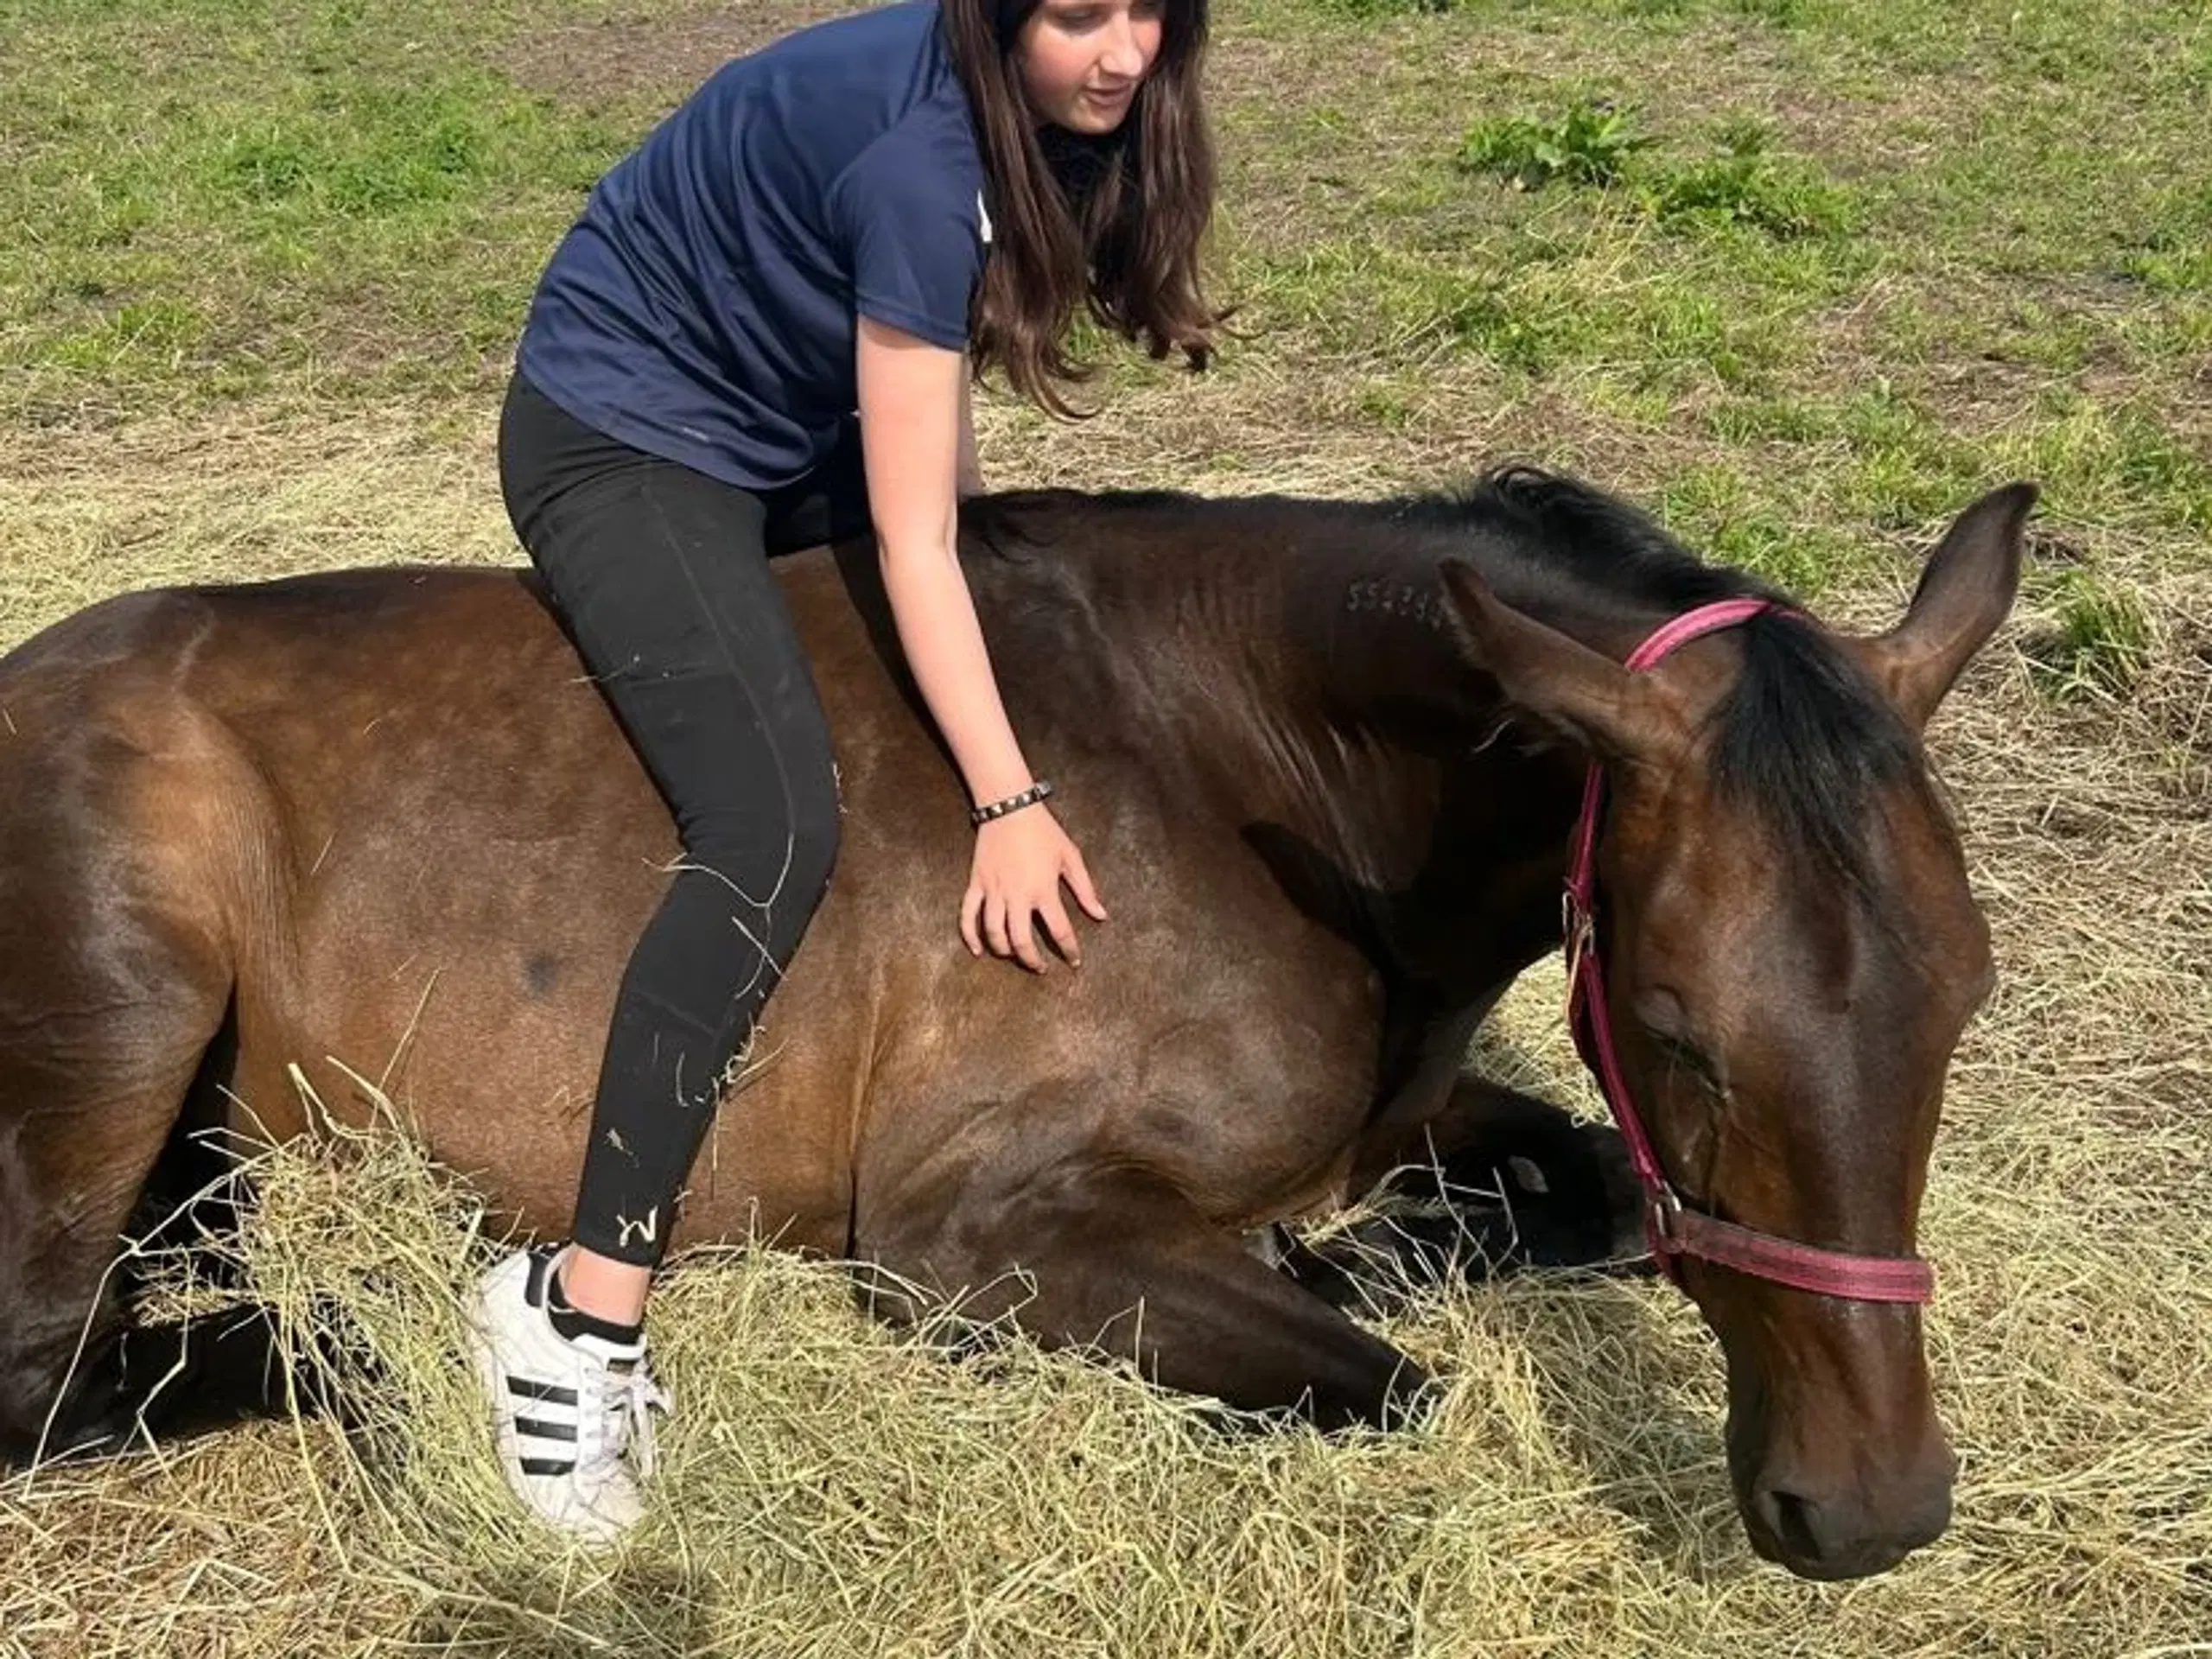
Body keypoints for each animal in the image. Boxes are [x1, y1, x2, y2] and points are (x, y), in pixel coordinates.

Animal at [0, 471, 2025, 1583]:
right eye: (1679, 1028)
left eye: (1963, 1001)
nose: (1869, 1511)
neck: (1245, 767)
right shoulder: (969, 1231)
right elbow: (1396, 1382)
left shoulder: (1411, 1108)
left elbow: (1581, 1189)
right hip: (125, 1009)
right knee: (52, 1373)